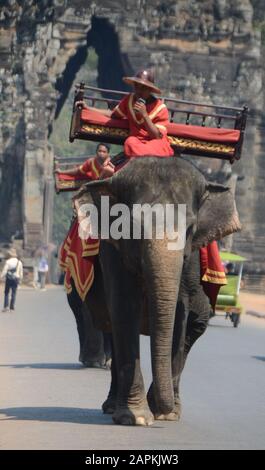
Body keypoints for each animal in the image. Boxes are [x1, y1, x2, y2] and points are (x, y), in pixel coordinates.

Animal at [73, 156, 239, 424]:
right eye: (130, 226)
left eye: (190, 229)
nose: (162, 409)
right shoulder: (112, 251)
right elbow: (123, 307)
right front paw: (136, 417)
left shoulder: (190, 260)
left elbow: (180, 315)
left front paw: (164, 414)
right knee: (111, 326)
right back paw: (112, 405)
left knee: (194, 326)